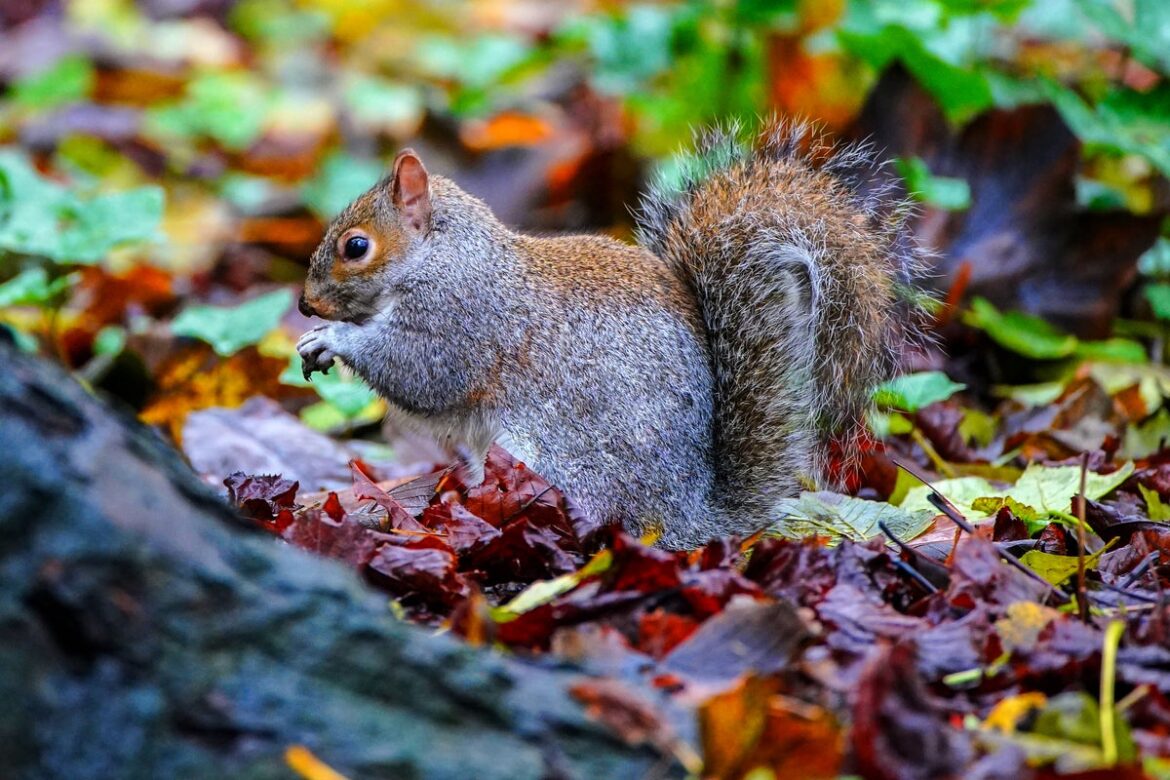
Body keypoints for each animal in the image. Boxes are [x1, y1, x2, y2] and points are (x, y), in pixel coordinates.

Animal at [297, 121, 926, 550]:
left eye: (356, 246)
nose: (305, 304)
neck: (441, 253)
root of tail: (690, 518)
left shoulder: (461, 315)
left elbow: (422, 370)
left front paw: (333, 339)